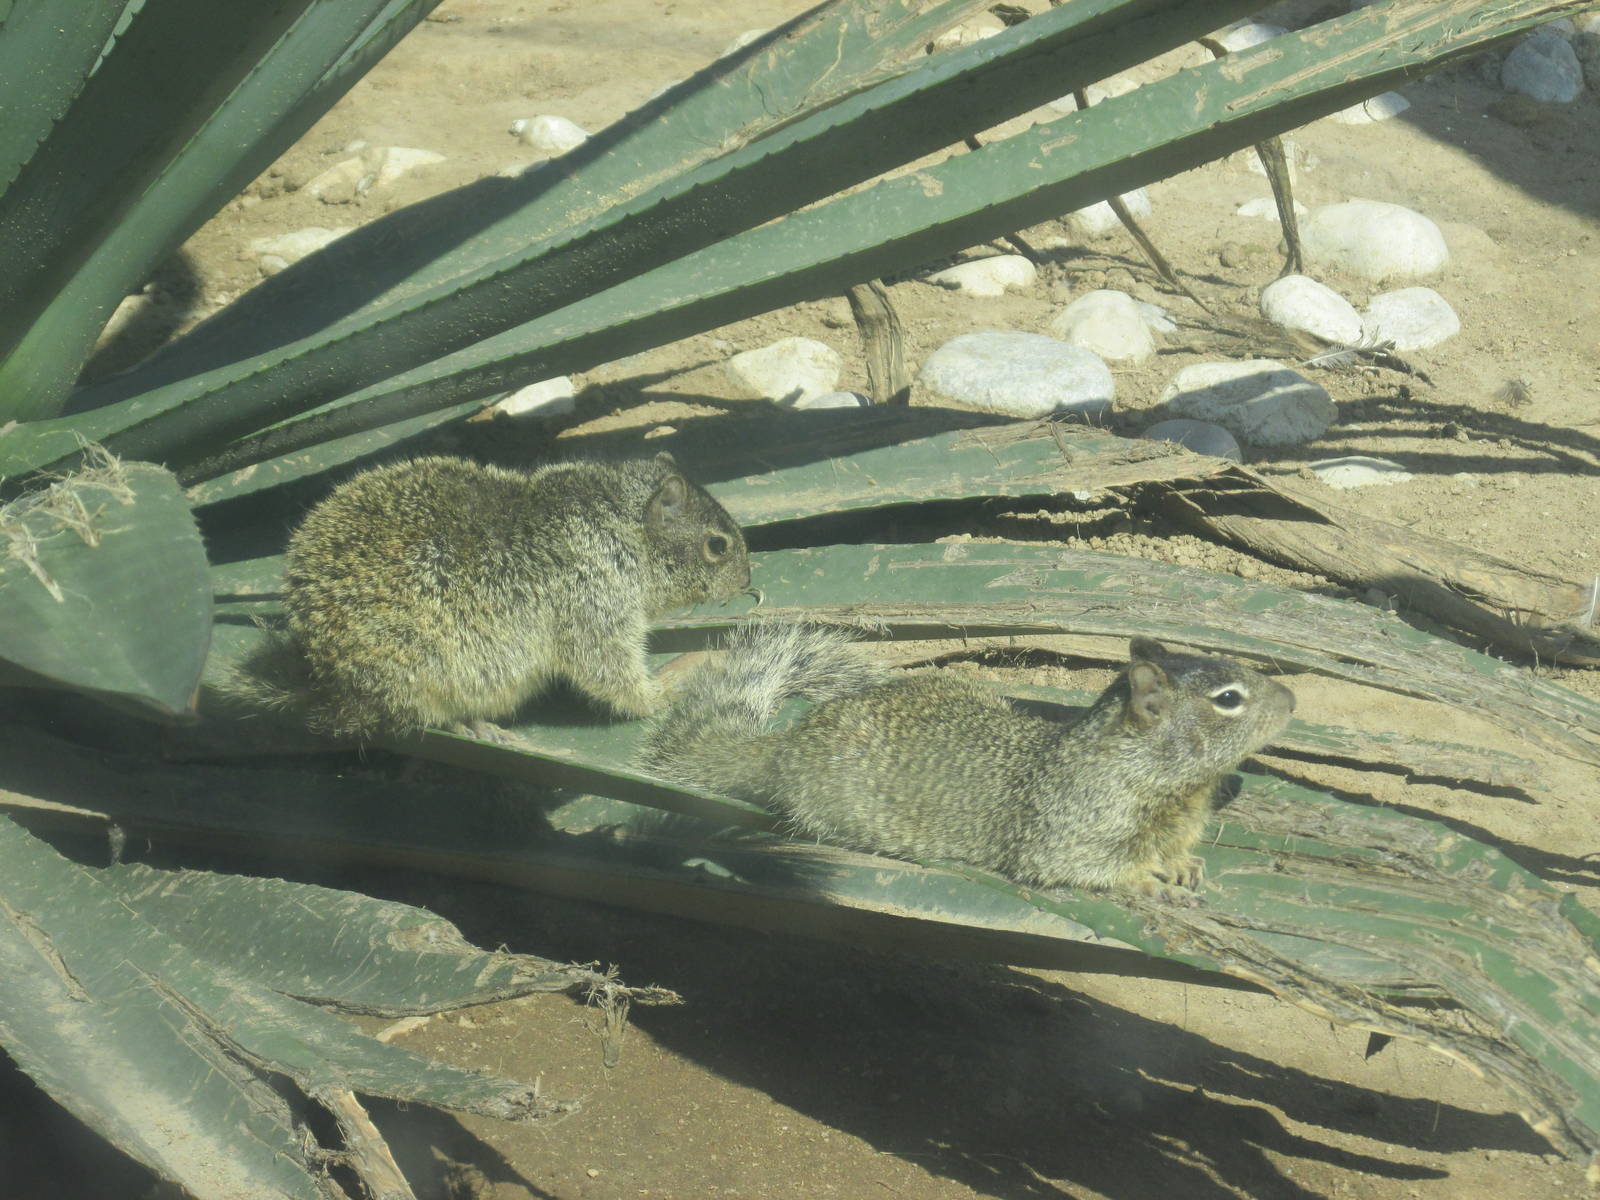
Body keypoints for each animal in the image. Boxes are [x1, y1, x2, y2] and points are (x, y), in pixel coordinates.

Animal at [226, 452, 749, 740]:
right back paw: (478, 728)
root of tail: (323, 677)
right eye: (717, 545)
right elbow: (608, 670)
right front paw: (667, 688)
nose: (748, 579)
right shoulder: (595, 598)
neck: (615, 525)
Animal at [640, 624, 1295, 900]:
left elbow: (1176, 849)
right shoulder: (1075, 828)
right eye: (1228, 699)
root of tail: (782, 749)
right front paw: (1144, 879)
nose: (1292, 700)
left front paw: (1181, 864)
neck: (1177, 788)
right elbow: (1079, 865)